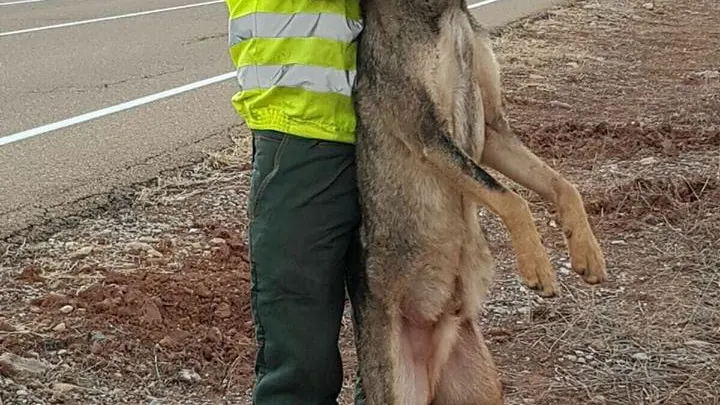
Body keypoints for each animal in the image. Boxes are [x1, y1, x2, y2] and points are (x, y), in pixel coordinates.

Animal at [348, 0, 608, 400]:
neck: (448, 11)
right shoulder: (428, 134)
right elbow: (513, 200)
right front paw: (536, 265)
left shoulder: (493, 133)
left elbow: (563, 186)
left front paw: (587, 252)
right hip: (399, 389)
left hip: (482, 386)